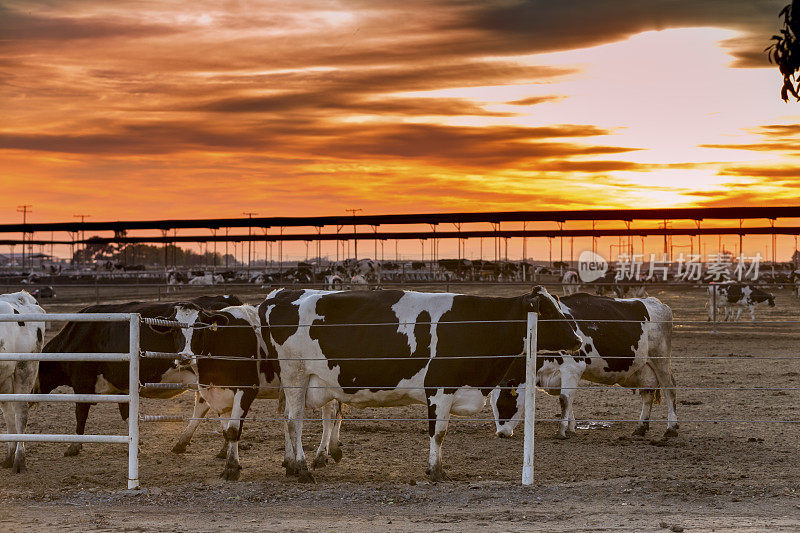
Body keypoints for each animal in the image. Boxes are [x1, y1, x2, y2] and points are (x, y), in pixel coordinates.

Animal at [36, 294, 241, 456]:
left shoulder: (82, 382)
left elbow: (81, 413)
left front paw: (74, 445)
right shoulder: (122, 386)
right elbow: (125, 413)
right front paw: (136, 441)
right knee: (205, 405)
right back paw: (185, 443)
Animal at [150, 302, 344, 480]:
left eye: (199, 330)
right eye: (174, 330)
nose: (185, 357)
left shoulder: (247, 389)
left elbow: (234, 430)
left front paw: (231, 468)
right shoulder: (218, 394)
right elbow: (227, 432)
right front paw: (231, 463)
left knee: (330, 414)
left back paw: (323, 455)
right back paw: (294, 462)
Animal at [260, 286, 580, 482]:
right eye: (548, 312)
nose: (577, 340)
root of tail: (279, 295)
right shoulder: (439, 389)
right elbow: (438, 433)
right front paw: (435, 471)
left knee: (289, 420)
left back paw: (291, 465)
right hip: (295, 376)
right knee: (294, 422)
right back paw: (303, 470)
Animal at [488, 294, 676, 438]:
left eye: (503, 403)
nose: (501, 433)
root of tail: (657, 303)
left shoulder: (572, 369)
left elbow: (564, 399)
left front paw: (561, 431)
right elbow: (568, 400)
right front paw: (570, 428)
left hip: (661, 360)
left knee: (670, 388)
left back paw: (671, 428)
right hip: (643, 368)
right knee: (647, 394)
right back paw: (640, 428)